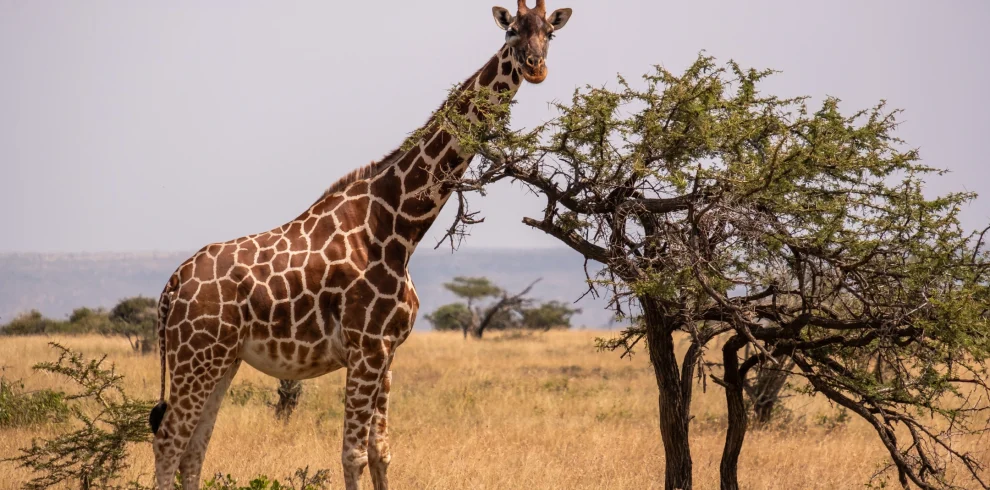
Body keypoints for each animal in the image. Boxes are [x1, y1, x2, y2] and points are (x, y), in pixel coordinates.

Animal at [149, 2, 572, 489]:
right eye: (512, 32)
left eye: (549, 33)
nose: (536, 67)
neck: (399, 225)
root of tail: (171, 287)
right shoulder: (365, 347)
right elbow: (351, 454)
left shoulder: (387, 351)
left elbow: (381, 452)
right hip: (196, 355)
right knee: (170, 441)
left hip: (222, 359)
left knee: (194, 447)